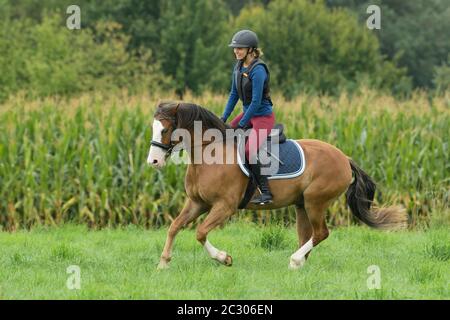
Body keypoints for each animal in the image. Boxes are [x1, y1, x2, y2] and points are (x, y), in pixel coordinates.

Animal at [147, 100, 408, 270]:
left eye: (165, 129)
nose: (153, 161)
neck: (209, 153)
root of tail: (344, 157)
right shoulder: (197, 203)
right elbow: (174, 227)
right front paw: (163, 263)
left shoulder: (224, 206)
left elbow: (200, 232)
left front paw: (224, 258)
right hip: (302, 205)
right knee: (307, 235)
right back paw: (299, 263)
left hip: (316, 201)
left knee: (321, 233)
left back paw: (294, 260)